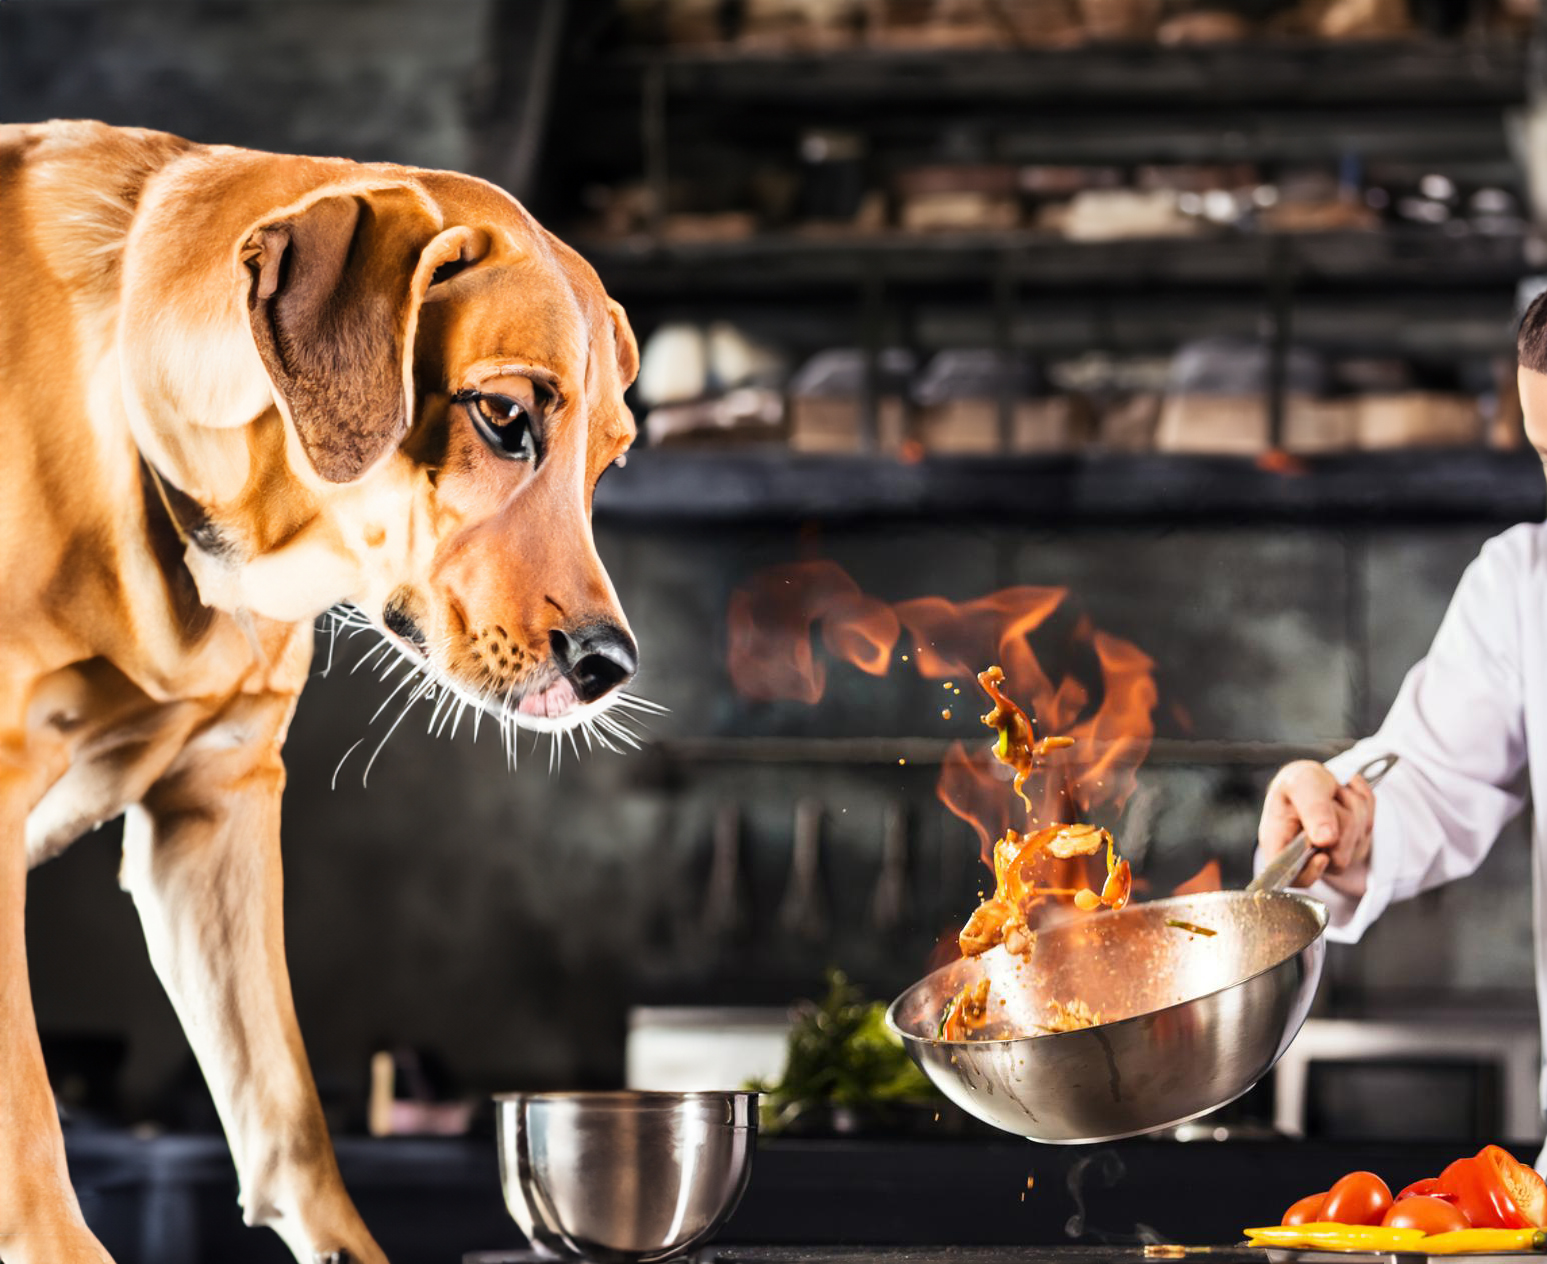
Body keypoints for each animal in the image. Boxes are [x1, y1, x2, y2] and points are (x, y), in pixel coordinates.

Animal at [0, 120, 640, 1262]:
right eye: (504, 416)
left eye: (607, 463)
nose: (610, 668)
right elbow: (31, 1125)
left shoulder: (213, 814)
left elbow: (286, 1114)